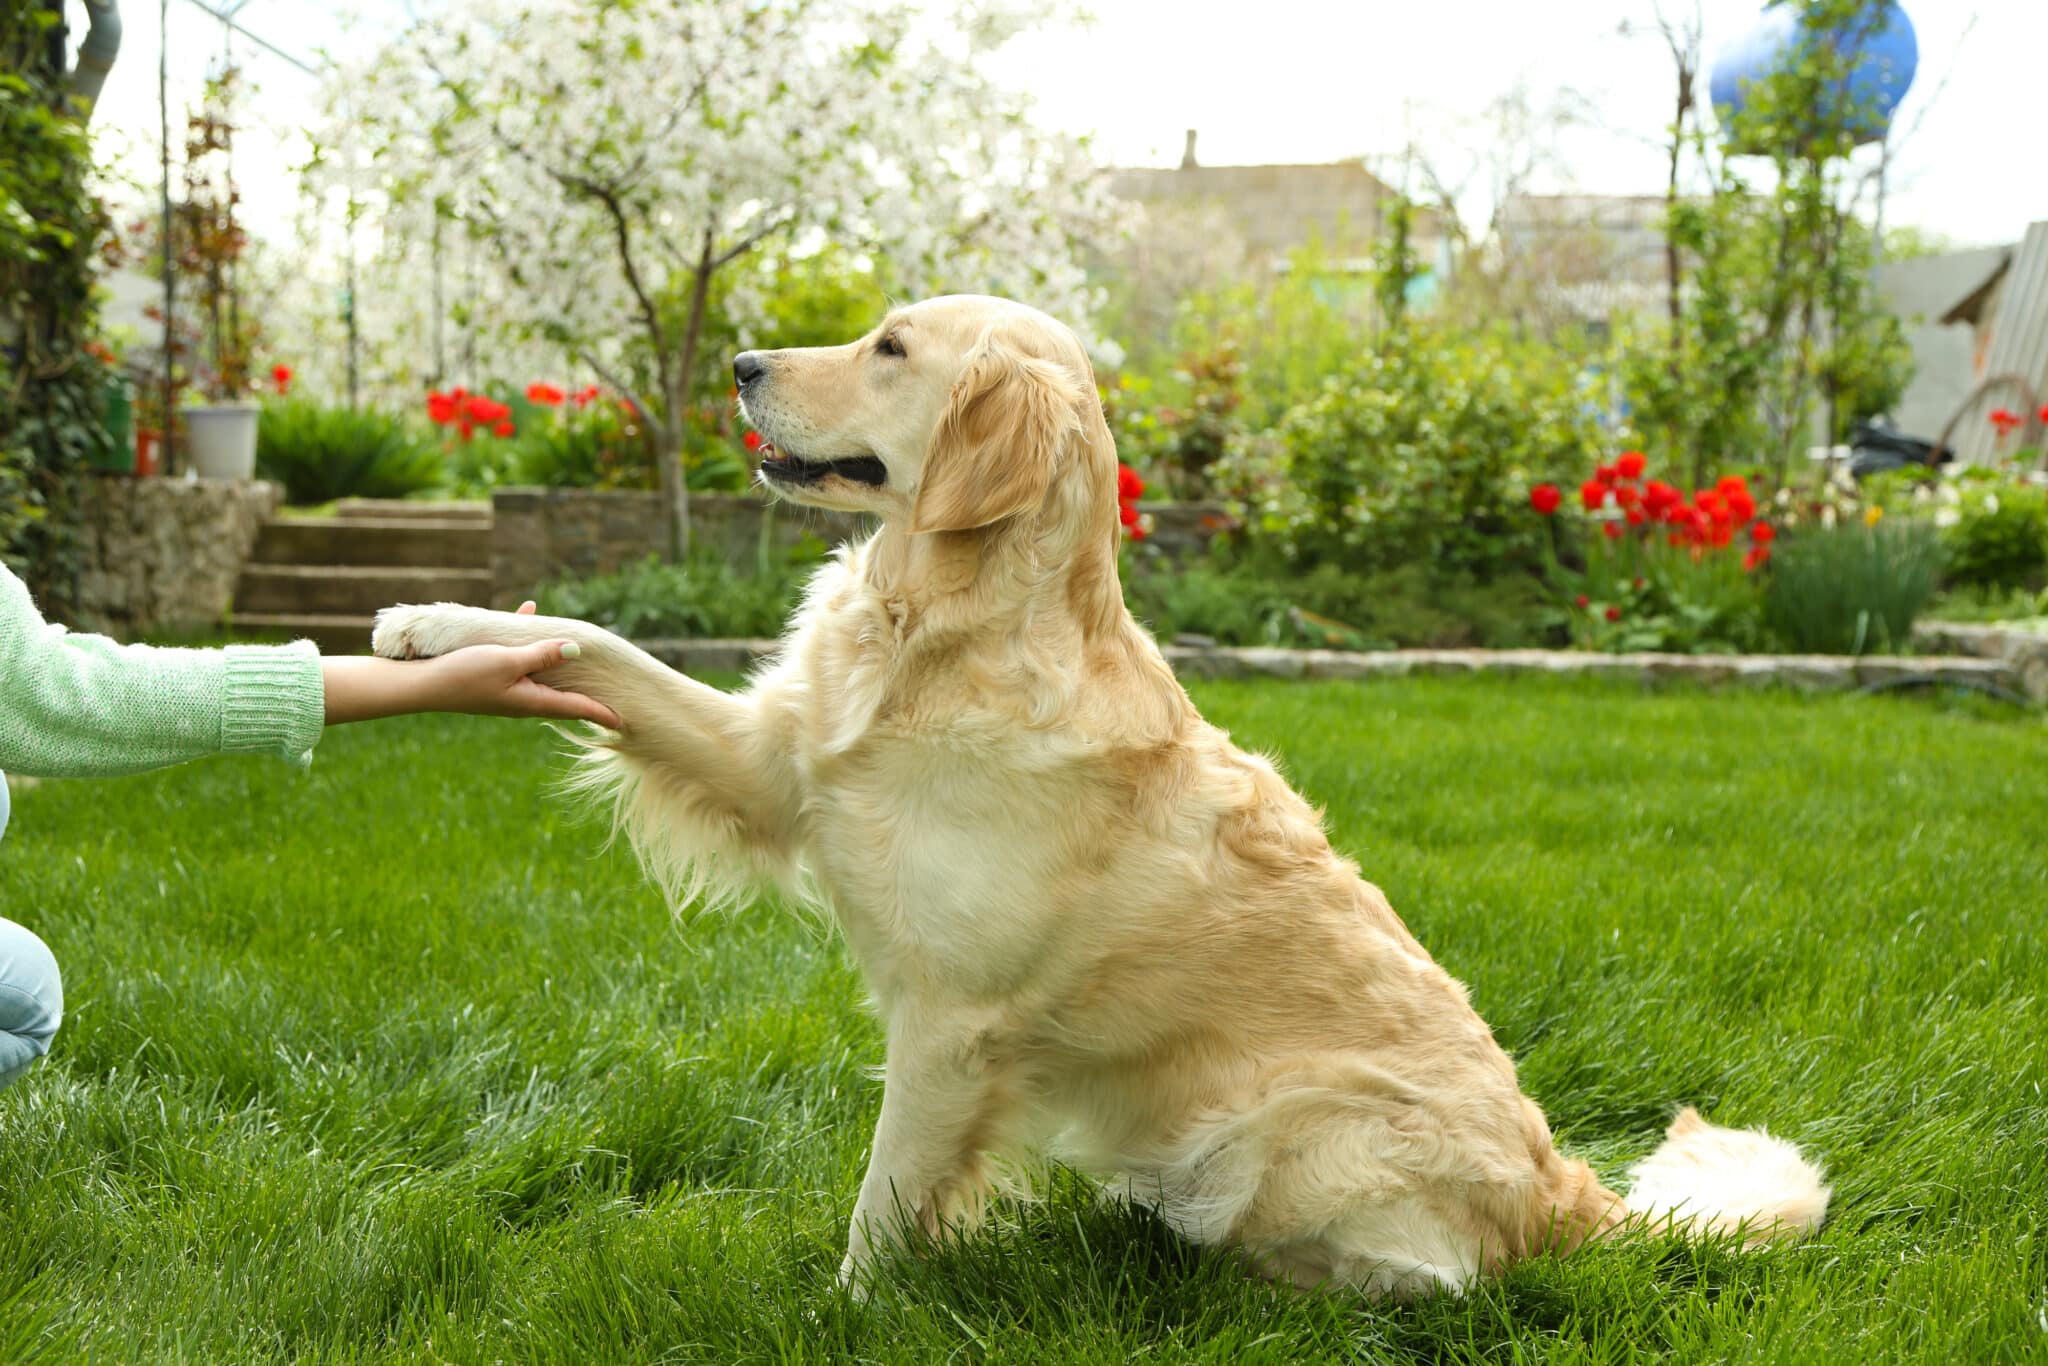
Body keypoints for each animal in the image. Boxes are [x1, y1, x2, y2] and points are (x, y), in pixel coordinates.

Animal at [376, 294, 1835, 1302]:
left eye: (889, 348)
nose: (738, 363)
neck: (942, 627)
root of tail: (1565, 1191)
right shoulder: (771, 760)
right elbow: (589, 638)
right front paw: (429, 625)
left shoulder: (951, 1025)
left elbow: (883, 1199)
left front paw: (847, 1306)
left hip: (1284, 1129)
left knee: (1424, 1276)